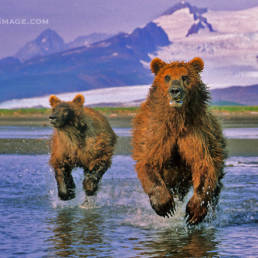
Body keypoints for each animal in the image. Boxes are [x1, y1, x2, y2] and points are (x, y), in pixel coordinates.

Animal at [132, 57, 227, 225]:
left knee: (215, 185)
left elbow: (202, 164)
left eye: (185, 77)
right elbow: (149, 161)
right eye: (167, 77)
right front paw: (164, 205)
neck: (177, 120)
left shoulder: (195, 134)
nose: (175, 90)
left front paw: (194, 210)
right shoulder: (157, 133)